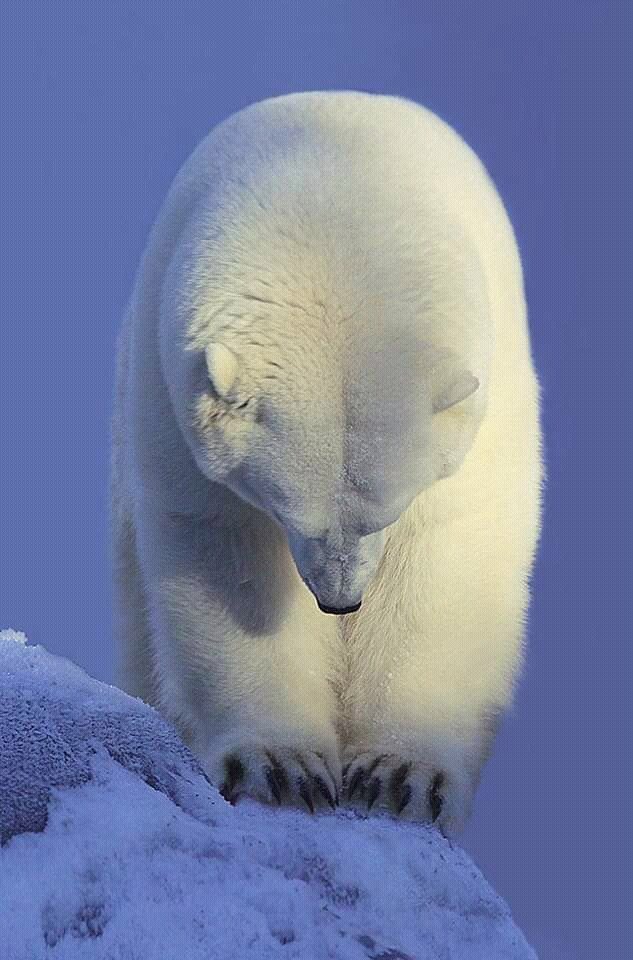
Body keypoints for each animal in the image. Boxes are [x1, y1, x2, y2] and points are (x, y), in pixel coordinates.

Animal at [110, 94, 544, 836]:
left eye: (385, 511)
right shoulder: (171, 403)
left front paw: (399, 777)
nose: (340, 601)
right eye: (287, 509)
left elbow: (449, 557)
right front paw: (280, 768)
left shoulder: (485, 407)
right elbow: (227, 558)